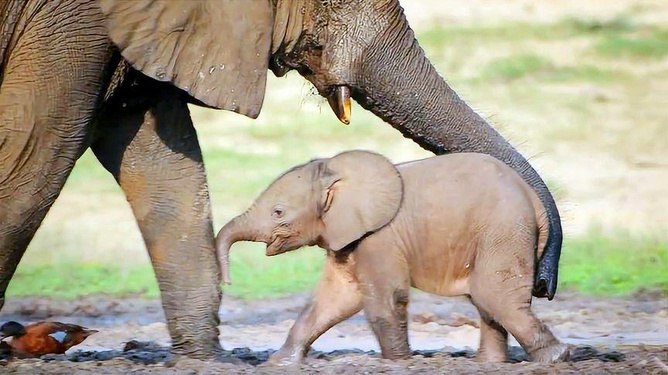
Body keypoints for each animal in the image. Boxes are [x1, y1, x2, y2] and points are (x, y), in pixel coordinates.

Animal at [218, 150, 568, 364]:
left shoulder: (379, 238)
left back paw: (557, 358)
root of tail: (535, 201)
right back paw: (488, 364)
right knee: (487, 300)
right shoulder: (348, 238)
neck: (335, 170)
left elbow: (383, 298)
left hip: (504, 230)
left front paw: (400, 362)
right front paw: (280, 362)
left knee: (494, 295)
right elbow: (333, 300)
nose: (228, 282)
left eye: (278, 213)